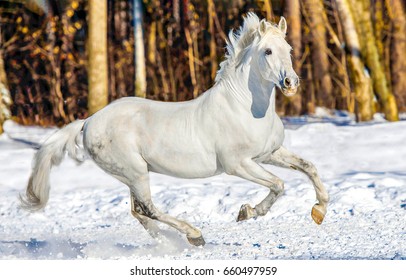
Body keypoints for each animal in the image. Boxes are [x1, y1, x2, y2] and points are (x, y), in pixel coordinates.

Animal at [20, 13, 328, 245]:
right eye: (268, 51)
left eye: (289, 50)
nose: (290, 83)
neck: (244, 107)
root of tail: (87, 122)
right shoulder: (238, 164)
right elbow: (278, 184)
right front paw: (247, 212)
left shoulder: (269, 153)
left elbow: (309, 167)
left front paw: (320, 211)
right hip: (134, 172)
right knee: (147, 209)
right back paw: (194, 235)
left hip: (131, 175)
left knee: (139, 213)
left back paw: (169, 242)